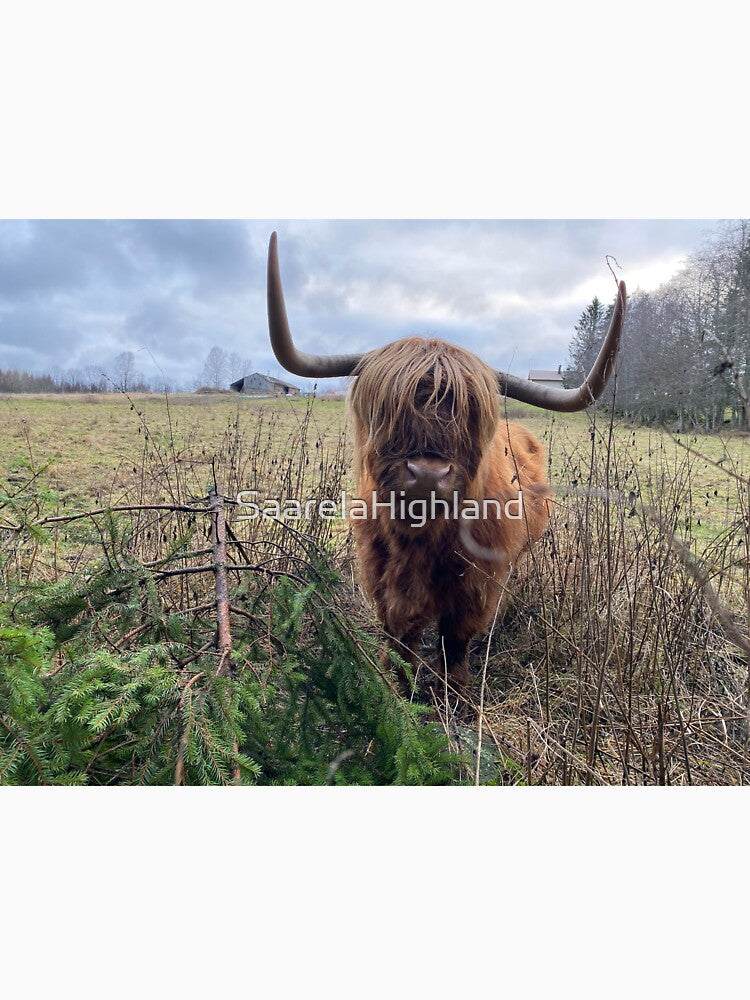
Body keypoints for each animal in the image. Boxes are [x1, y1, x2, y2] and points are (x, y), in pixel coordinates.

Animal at [266, 232, 626, 698]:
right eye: (389, 412)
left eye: (469, 418)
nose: (427, 473)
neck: (423, 538)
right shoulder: (383, 580)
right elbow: (402, 641)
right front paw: (399, 693)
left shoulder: (477, 585)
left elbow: (454, 645)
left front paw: (455, 697)